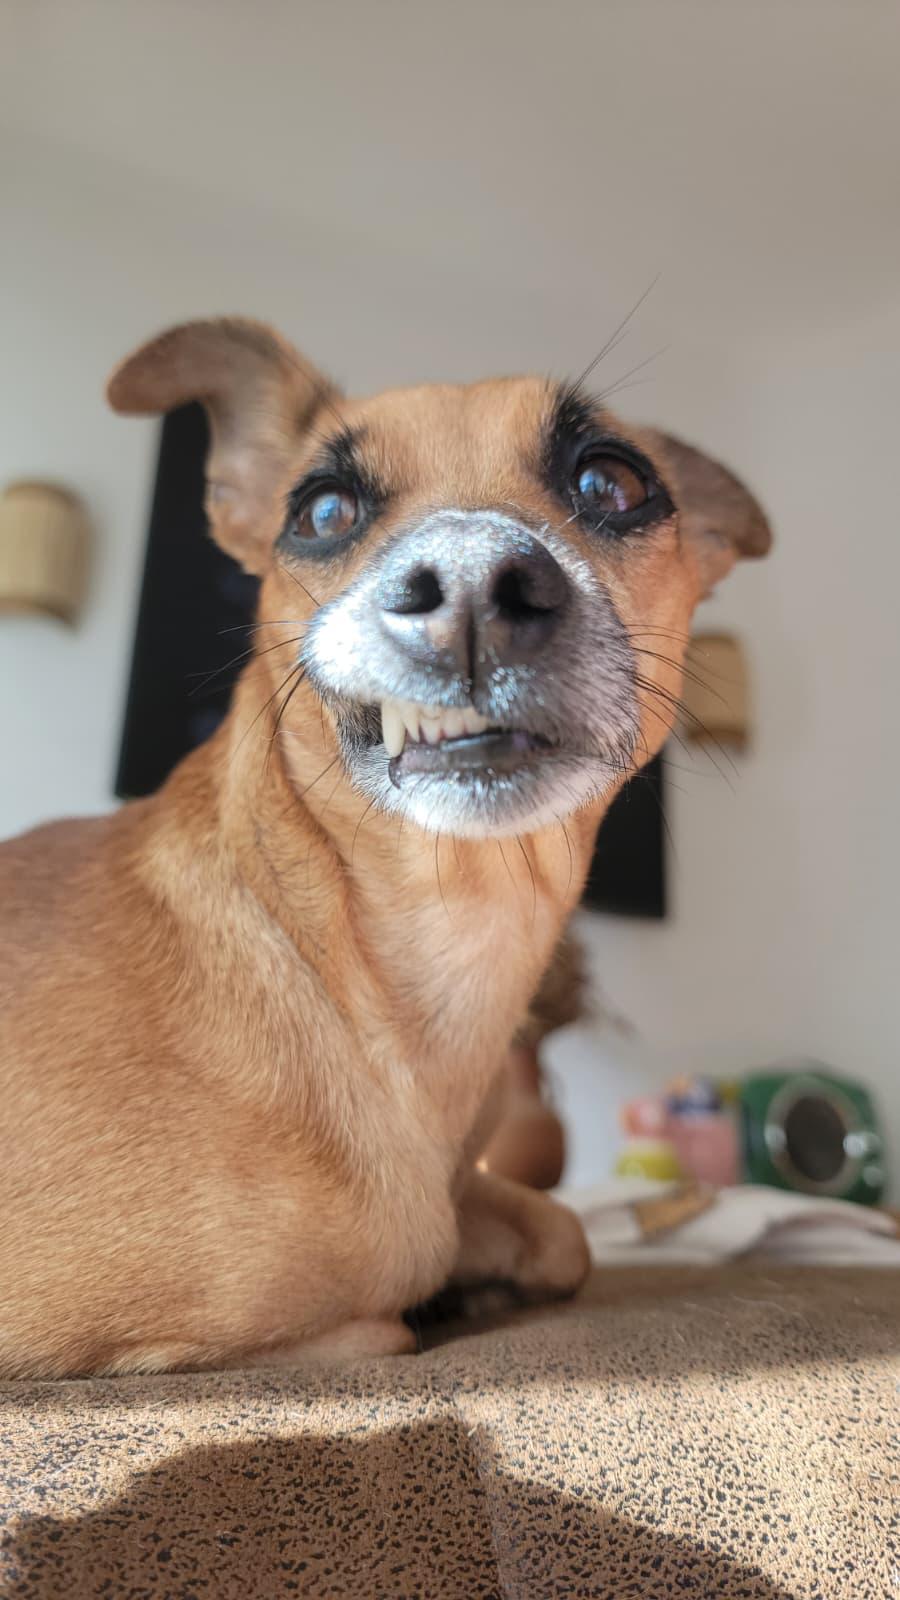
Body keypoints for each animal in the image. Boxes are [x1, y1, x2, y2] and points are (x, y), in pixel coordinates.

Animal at [0, 318, 771, 1376]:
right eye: (321, 510)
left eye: (612, 481)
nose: (473, 582)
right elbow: (381, 1317)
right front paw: (440, 1297)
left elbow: (565, 1232)